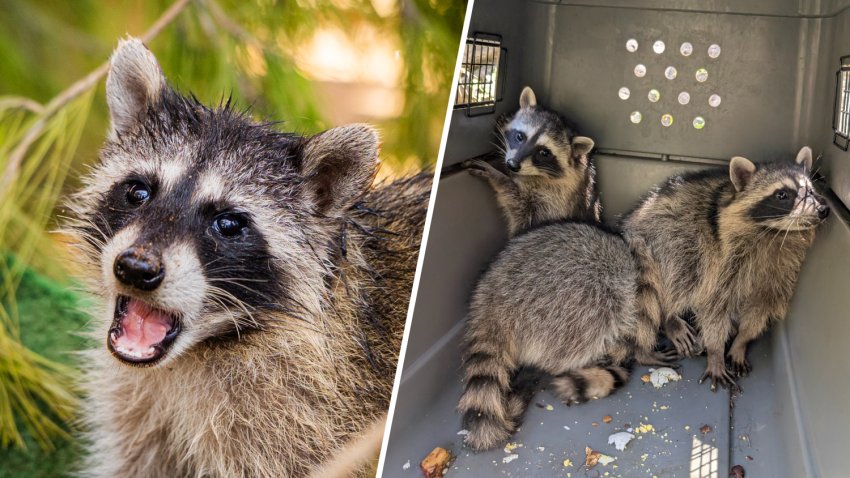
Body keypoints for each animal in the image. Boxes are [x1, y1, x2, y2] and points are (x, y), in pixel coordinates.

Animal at [65, 38, 430, 477]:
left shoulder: (306, 421)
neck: (194, 354)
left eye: (227, 224)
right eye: (138, 192)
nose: (136, 269)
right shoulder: (140, 412)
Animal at [458, 87, 600, 235]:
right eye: (520, 136)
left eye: (544, 153)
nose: (512, 165)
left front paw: (497, 176)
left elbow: (524, 209)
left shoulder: (558, 198)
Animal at [622, 147, 829, 390]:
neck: (772, 232)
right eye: (782, 195)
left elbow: (762, 305)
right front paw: (715, 351)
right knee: (679, 271)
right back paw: (668, 317)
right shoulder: (720, 260)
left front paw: (742, 341)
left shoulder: (780, 270)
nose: (823, 209)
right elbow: (714, 305)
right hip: (665, 234)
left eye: (811, 191)